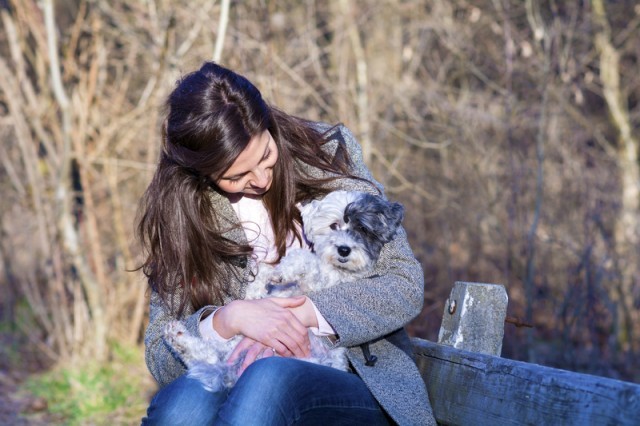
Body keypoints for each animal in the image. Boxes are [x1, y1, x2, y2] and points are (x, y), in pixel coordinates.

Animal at [165, 191, 404, 392]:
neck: (335, 268)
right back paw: (177, 338)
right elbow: (269, 271)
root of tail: (232, 373)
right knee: (207, 355)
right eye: (334, 225)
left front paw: (283, 273)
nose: (343, 249)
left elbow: (304, 260)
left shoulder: (323, 281)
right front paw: (257, 289)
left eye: (363, 229)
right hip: (236, 343)